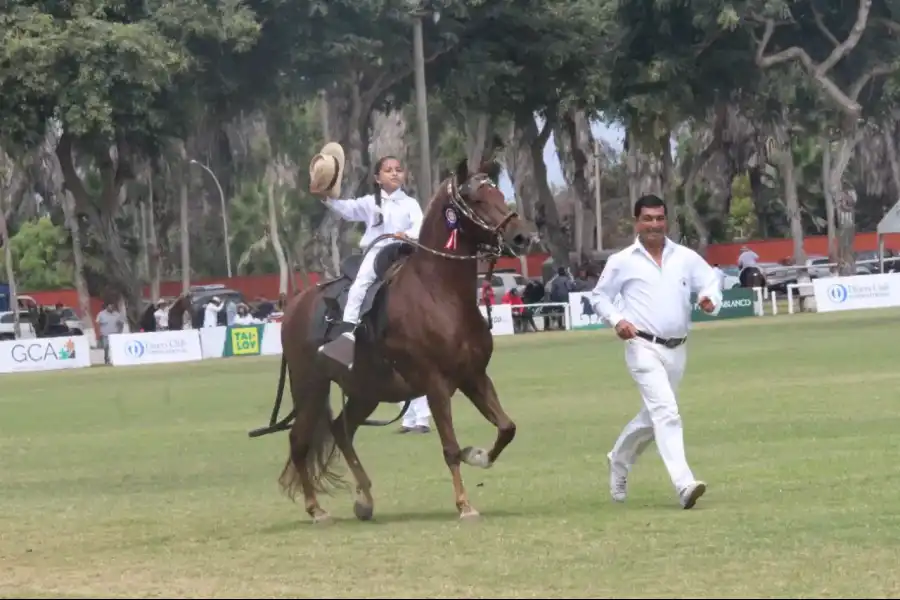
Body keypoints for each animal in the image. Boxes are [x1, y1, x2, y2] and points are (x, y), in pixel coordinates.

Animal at [256, 157, 532, 524]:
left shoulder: (474, 377)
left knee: (341, 430)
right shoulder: (435, 383)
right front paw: (464, 504)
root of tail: (294, 307)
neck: (440, 294)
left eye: (499, 192)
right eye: (476, 199)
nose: (522, 236)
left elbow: (506, 427)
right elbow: (449, 447)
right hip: (310, 387)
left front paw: (478, 455)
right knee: (299, 441)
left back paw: (364, 498)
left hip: (365, 391)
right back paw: (316, 509)